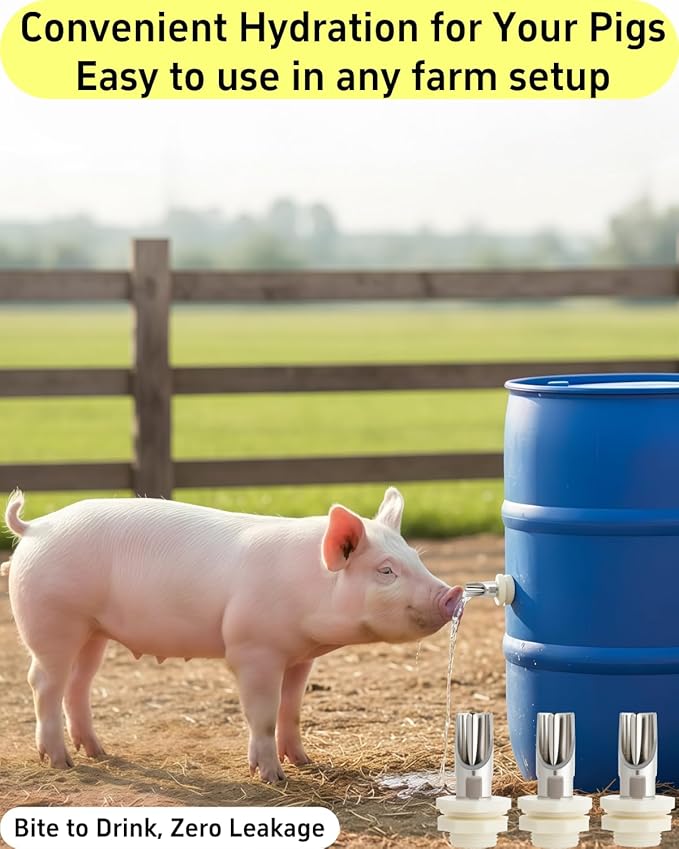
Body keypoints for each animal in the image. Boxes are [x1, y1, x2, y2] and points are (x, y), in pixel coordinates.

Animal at [4, 487, 462, 783]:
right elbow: (263, 713)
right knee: (43, 682)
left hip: (93, 631)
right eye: (386, 570)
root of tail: (36, 528)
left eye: (415, 558)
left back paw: (97, 751)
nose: (453, 592)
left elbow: (292, 708)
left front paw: (305, 762)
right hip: (53, 620)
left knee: (78, 684)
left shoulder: (300, 656)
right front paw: (273, 778)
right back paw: (61, 763)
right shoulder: (253, 649)